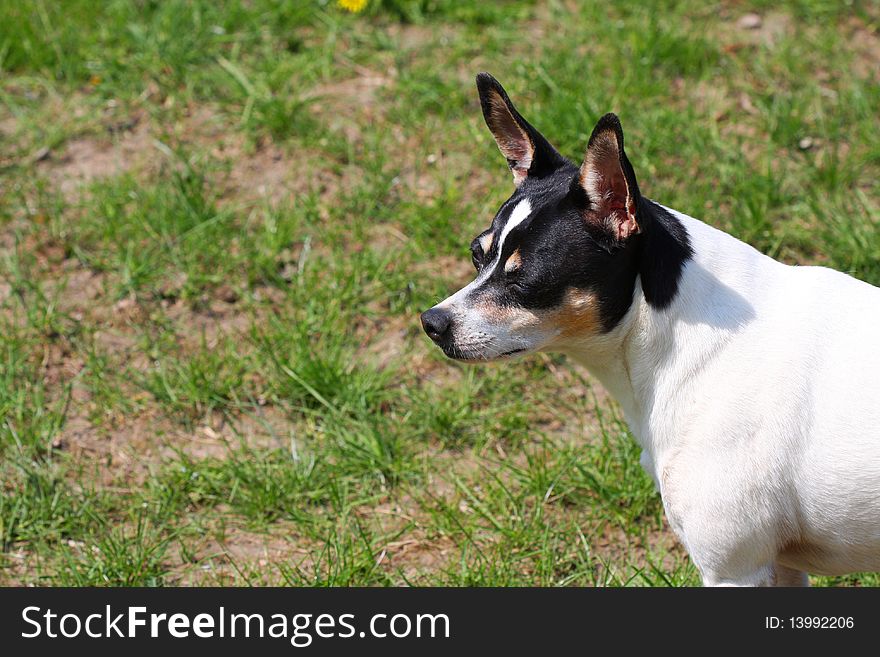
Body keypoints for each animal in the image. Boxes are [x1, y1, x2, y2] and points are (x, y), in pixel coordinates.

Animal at [420, 72, 880, 584]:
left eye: (525, 279)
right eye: (477, 254)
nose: (432, 322)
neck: (684, 340)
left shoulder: (735, 568)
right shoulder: (779, 565)